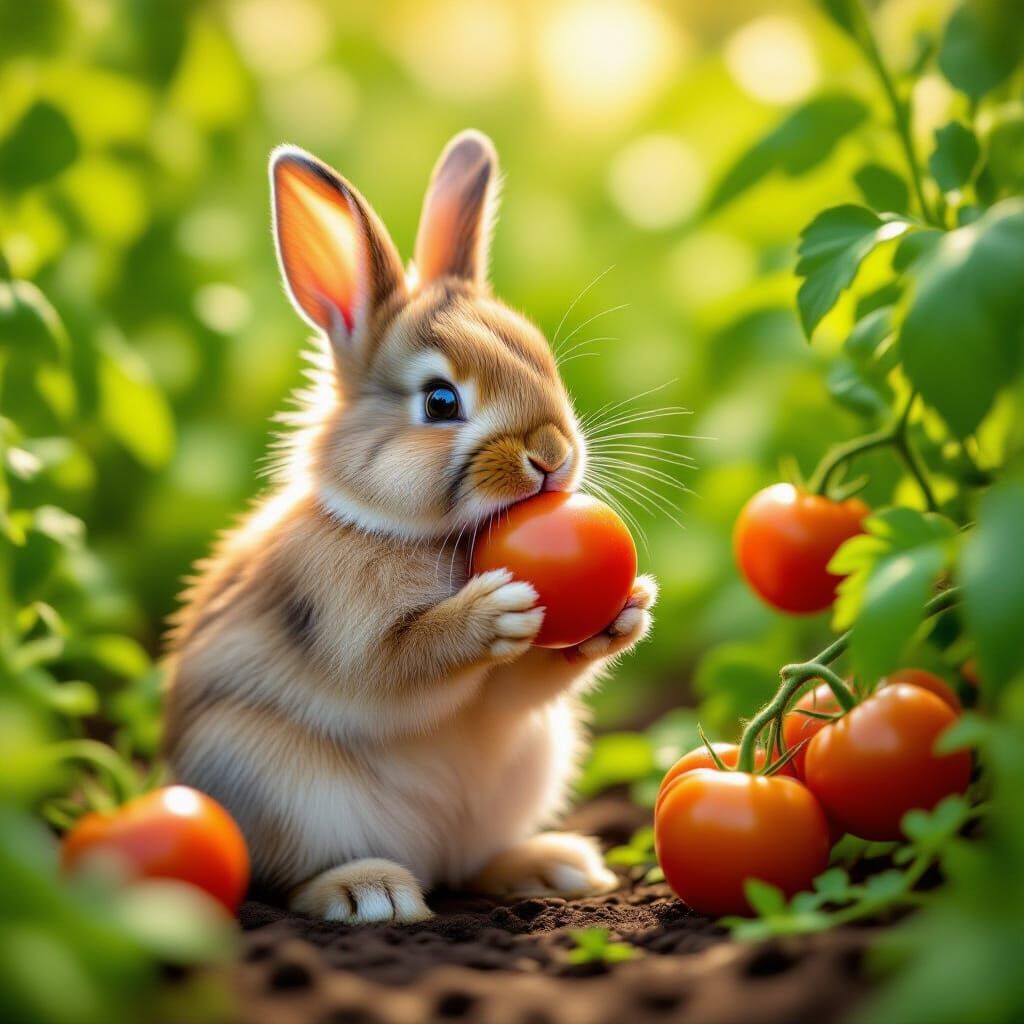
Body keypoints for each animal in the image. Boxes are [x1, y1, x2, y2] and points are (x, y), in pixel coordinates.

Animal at [163, 130, 658, 924]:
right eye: (440, 401)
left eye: (544, 363)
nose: (552, 456)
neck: (418, 533)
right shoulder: (346, 626)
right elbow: (399, 663)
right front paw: (491, 614)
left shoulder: (512, 697)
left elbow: (522, 686)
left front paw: (631, 608)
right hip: (271, 779)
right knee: (293, 875)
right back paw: (370, 894)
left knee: (472, 863)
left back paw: (554, 867)